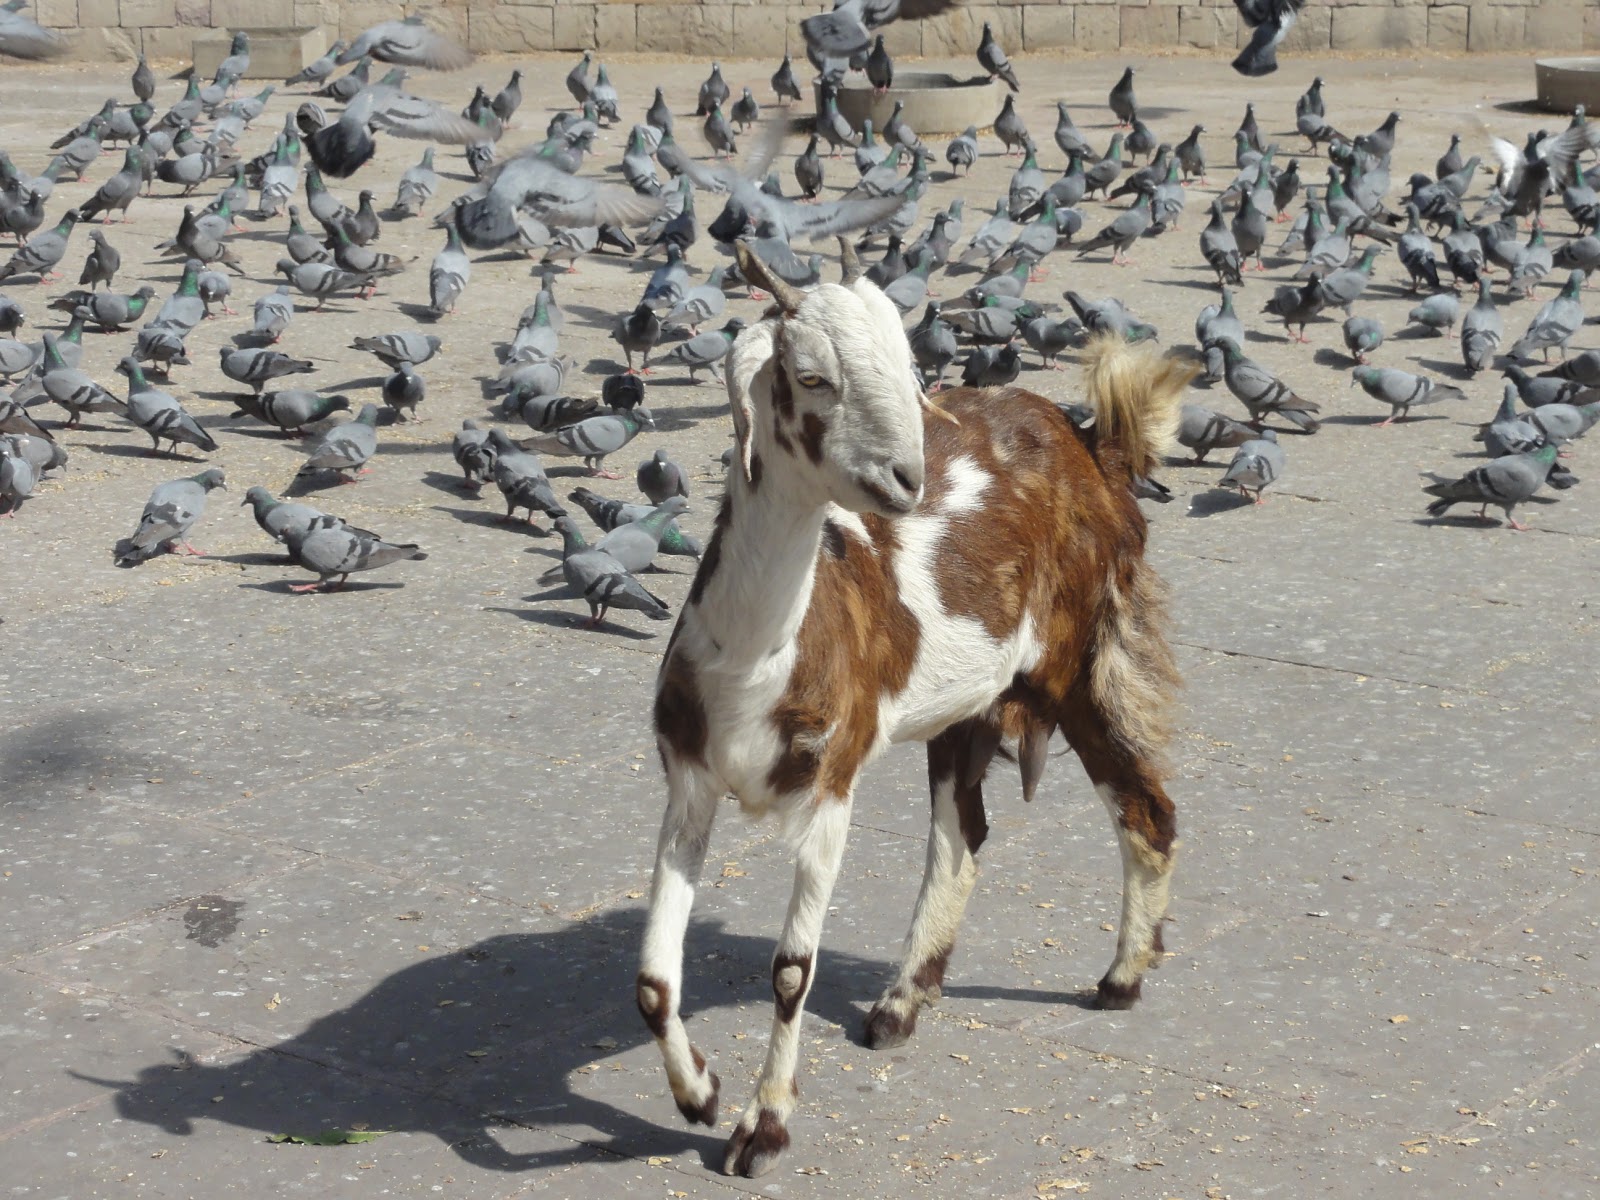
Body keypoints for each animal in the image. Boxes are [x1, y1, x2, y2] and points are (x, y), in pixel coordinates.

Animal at [636, 240, 1190, 1177]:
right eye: (812, 376)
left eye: (909, 368)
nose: (907, 477)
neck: (757, 659)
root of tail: (1094, 445)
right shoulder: (688, 781)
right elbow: (652, 980)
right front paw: (700, 1093)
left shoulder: (832, 786)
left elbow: (791, 971)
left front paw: (764, 1128)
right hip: (971, 704)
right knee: (962, 835)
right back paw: (900, 1003)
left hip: (1080, 661)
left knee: (1144, 806)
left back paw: (1119, 980)